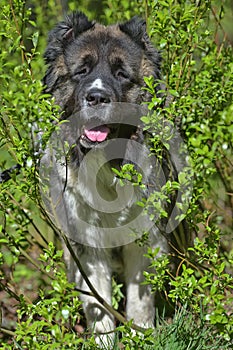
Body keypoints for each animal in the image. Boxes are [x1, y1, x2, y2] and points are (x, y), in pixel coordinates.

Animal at [41, 10, 174, 348]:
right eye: (81, 71)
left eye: (121, 74)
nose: (97, 97)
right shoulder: (86, 244)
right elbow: (98, 303)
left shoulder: (146, 240)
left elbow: (140, 299)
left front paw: (142, 335)